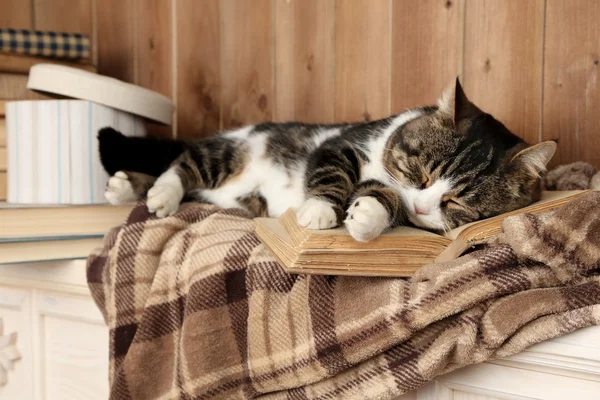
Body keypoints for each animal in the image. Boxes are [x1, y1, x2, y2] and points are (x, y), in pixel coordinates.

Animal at [99, 78, 556, 241]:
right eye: (420, 173)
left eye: (457, 201)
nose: (425, 206)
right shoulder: (339, 144)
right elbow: (332, 172)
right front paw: (320, 211)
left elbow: (383, 198)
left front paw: (366, 217)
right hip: (228, 153)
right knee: (183, 164)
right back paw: (154, 193)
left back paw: (127, 187)